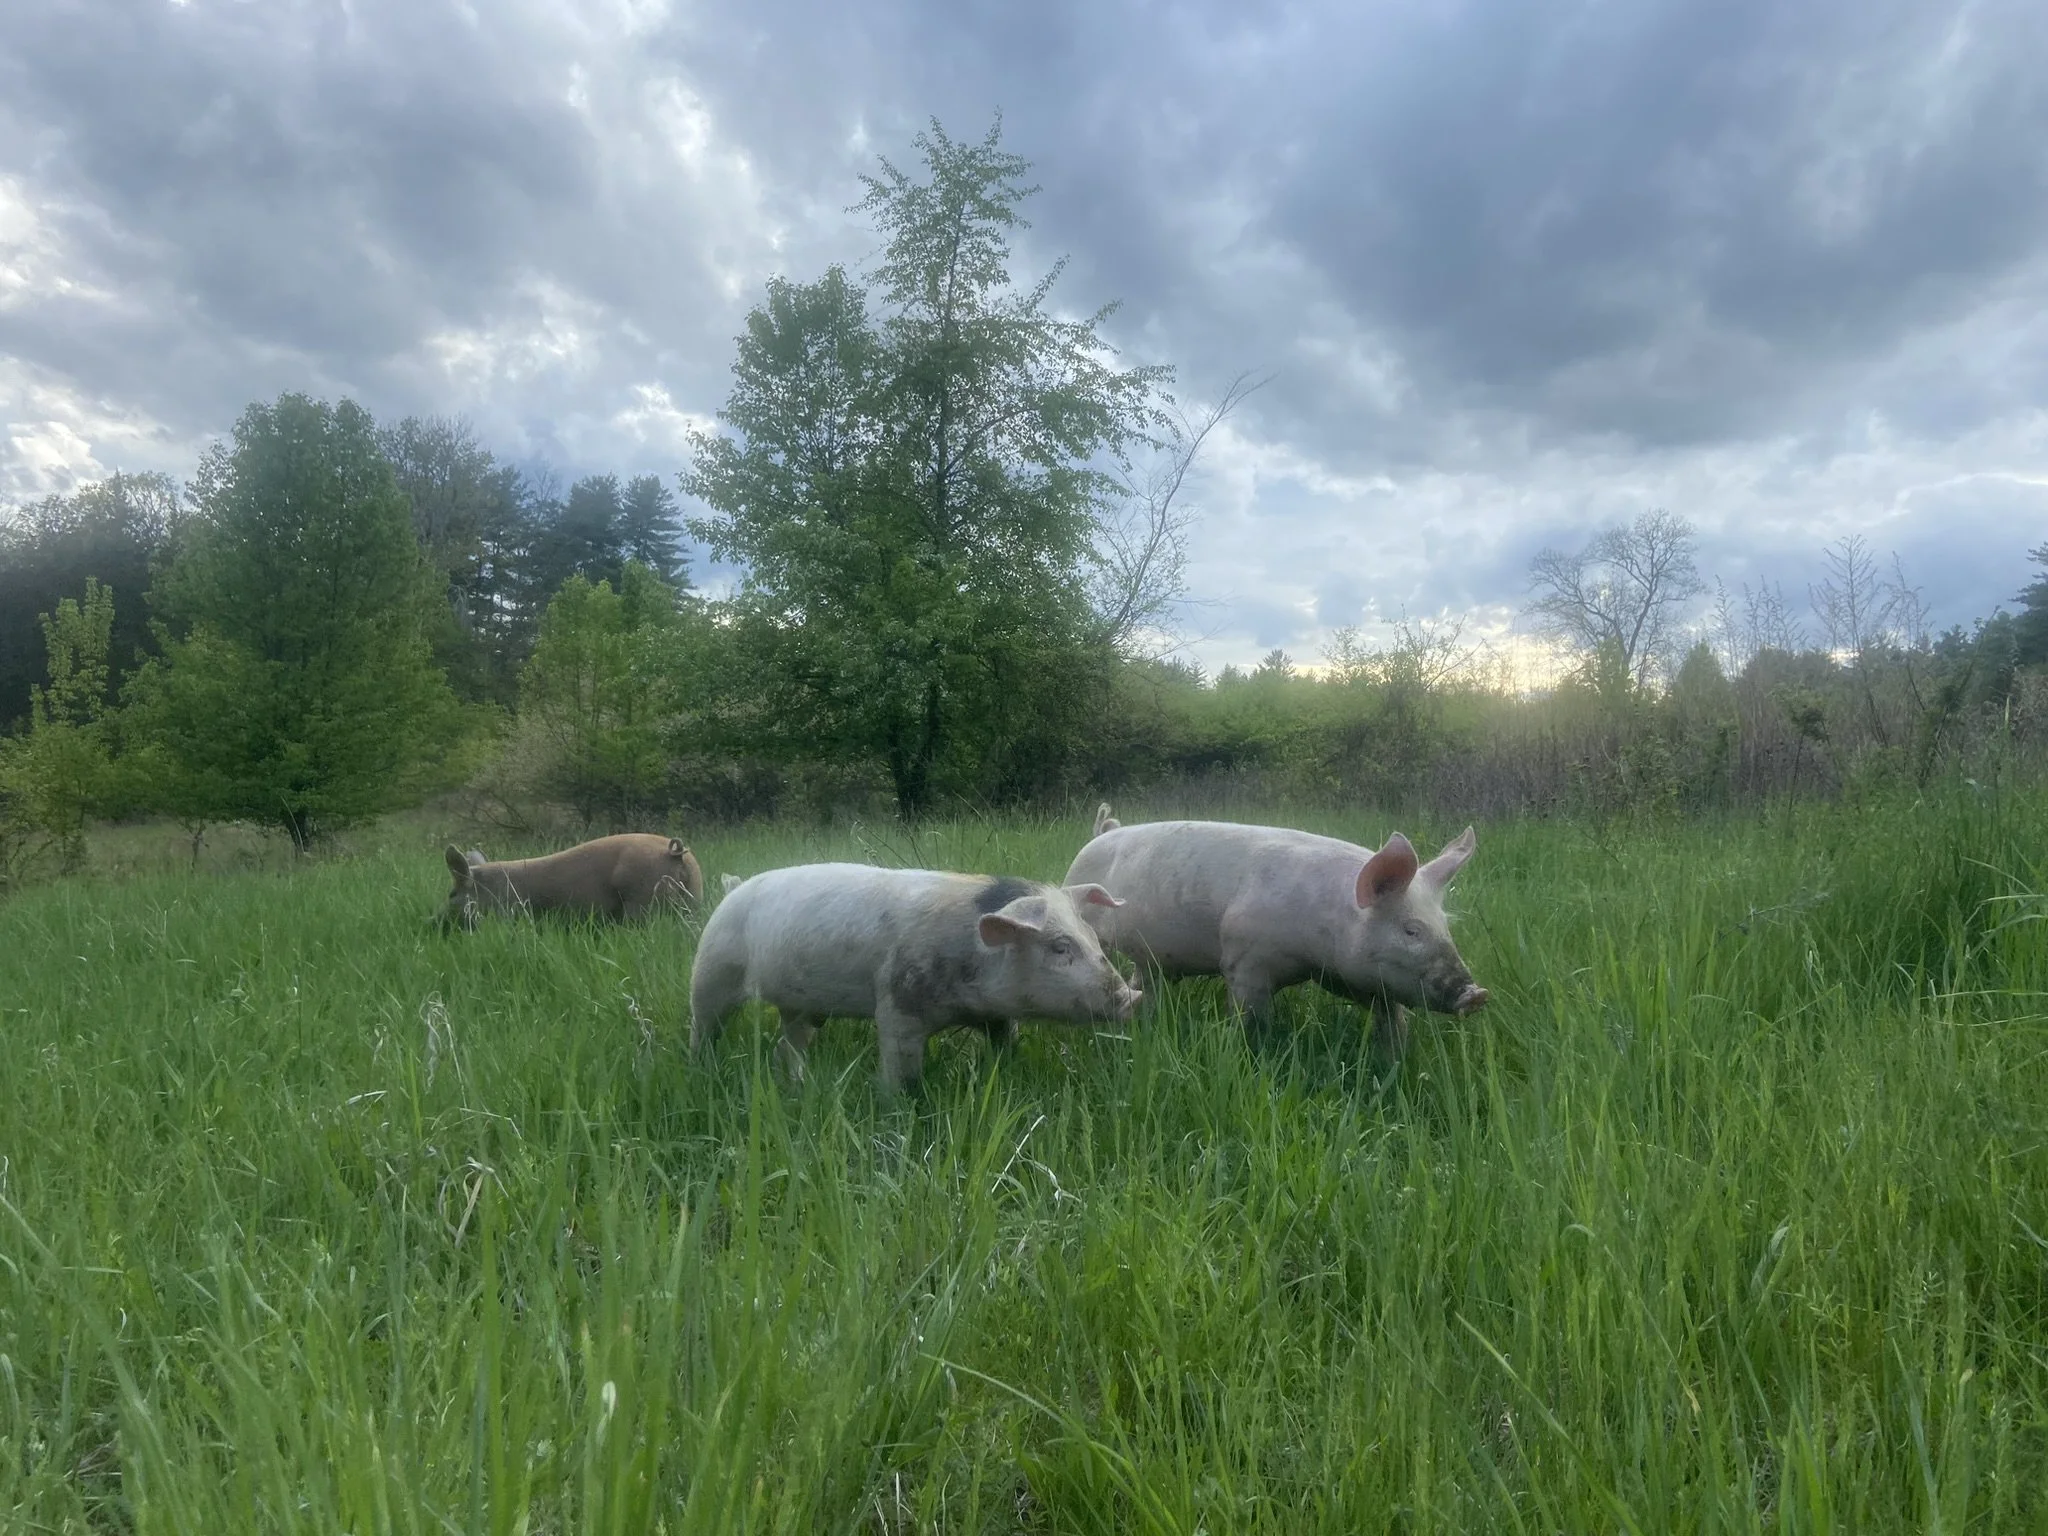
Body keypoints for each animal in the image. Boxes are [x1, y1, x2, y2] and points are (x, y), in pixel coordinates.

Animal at [441, 833, 703, 929]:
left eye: (451, 894)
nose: (435, 921)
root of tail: (675, 853)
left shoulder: (509, 912)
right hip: (693, 899)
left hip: (642, 899)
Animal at [688, 863, 1143, 1090]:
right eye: (1060, 947)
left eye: (1093, 939)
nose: (1130, 998)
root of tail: (733, 888)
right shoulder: (897, 999)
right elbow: (900, 1065)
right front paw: (896, 1099)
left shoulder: (997, 1015)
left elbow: (1006, 1042)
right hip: (710, 971)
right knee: (703, 1027)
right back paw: (703, 1068)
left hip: (802, 1007)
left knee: (788, 1046)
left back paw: (797, 1083)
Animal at [1064, 807, 1487, 1063]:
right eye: (1411, 929)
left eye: (1445, 926)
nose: (1476, 993)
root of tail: (1100, 833)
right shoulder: (1244, 959)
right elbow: (1252, 1016)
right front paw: (1253, 1051)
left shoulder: (1341, 975)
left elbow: (1388, 1012)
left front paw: (1394, 1055)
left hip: (1152, 959)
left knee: (1145, 981)